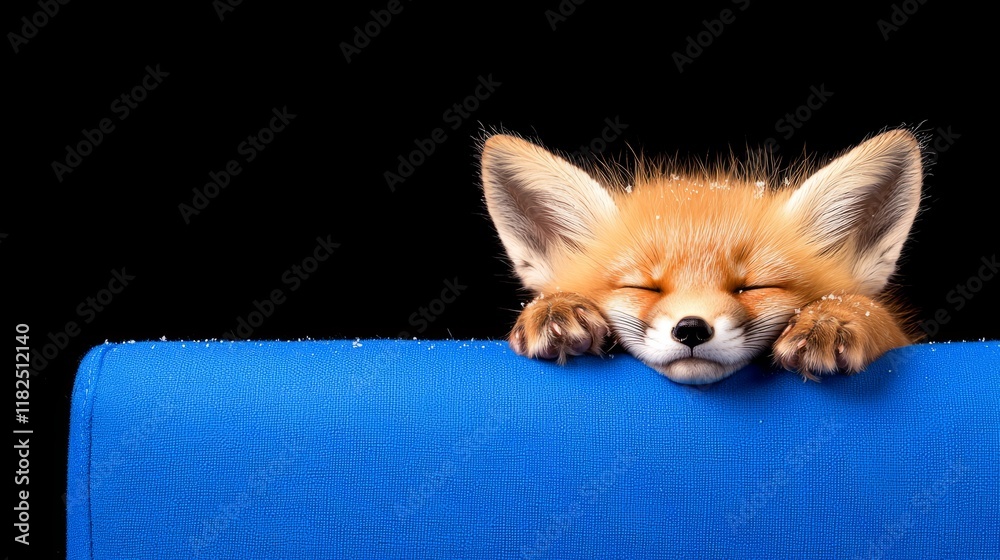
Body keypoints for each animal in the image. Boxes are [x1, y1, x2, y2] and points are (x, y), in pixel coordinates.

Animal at [480, 129, 924, 384]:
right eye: (644, 287)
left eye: (753, 286)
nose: (691, 329)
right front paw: (555, 307)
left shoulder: (905, 338)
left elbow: (875, 315)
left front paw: (832, 317)